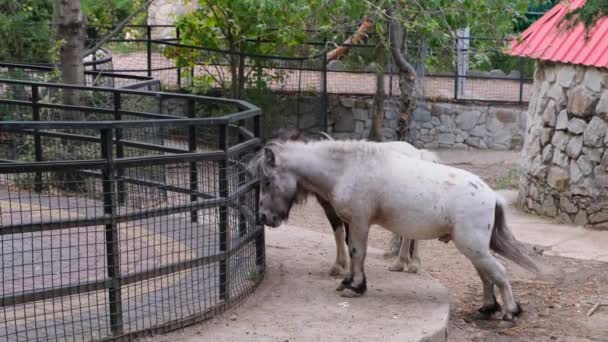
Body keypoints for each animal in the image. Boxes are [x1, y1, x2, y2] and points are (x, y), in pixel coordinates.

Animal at [249, 138, 544, 320]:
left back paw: (510, 312)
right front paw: (348, 280)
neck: (347, 168)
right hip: (473, 249)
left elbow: (357, 252)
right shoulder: (351, 223)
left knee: (499, 273)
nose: (264, 217)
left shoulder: (359, 221)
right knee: (486, 276)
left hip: (473, 247)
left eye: (267, 181)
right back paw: (487, 308)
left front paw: (356, 286)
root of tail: (491, 194)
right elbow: (351, 250)